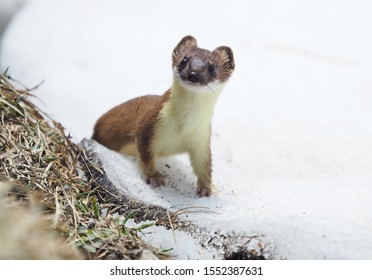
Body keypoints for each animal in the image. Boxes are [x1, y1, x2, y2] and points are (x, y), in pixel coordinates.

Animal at [91, 35, 234, 197]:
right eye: (184, 60)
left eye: (212, 68)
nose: (193, 74)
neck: (184, 125)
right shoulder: (148, 125)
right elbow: (145, 155)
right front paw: (154, 177)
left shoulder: (202, 138)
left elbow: (204, 164)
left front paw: (207, 188)